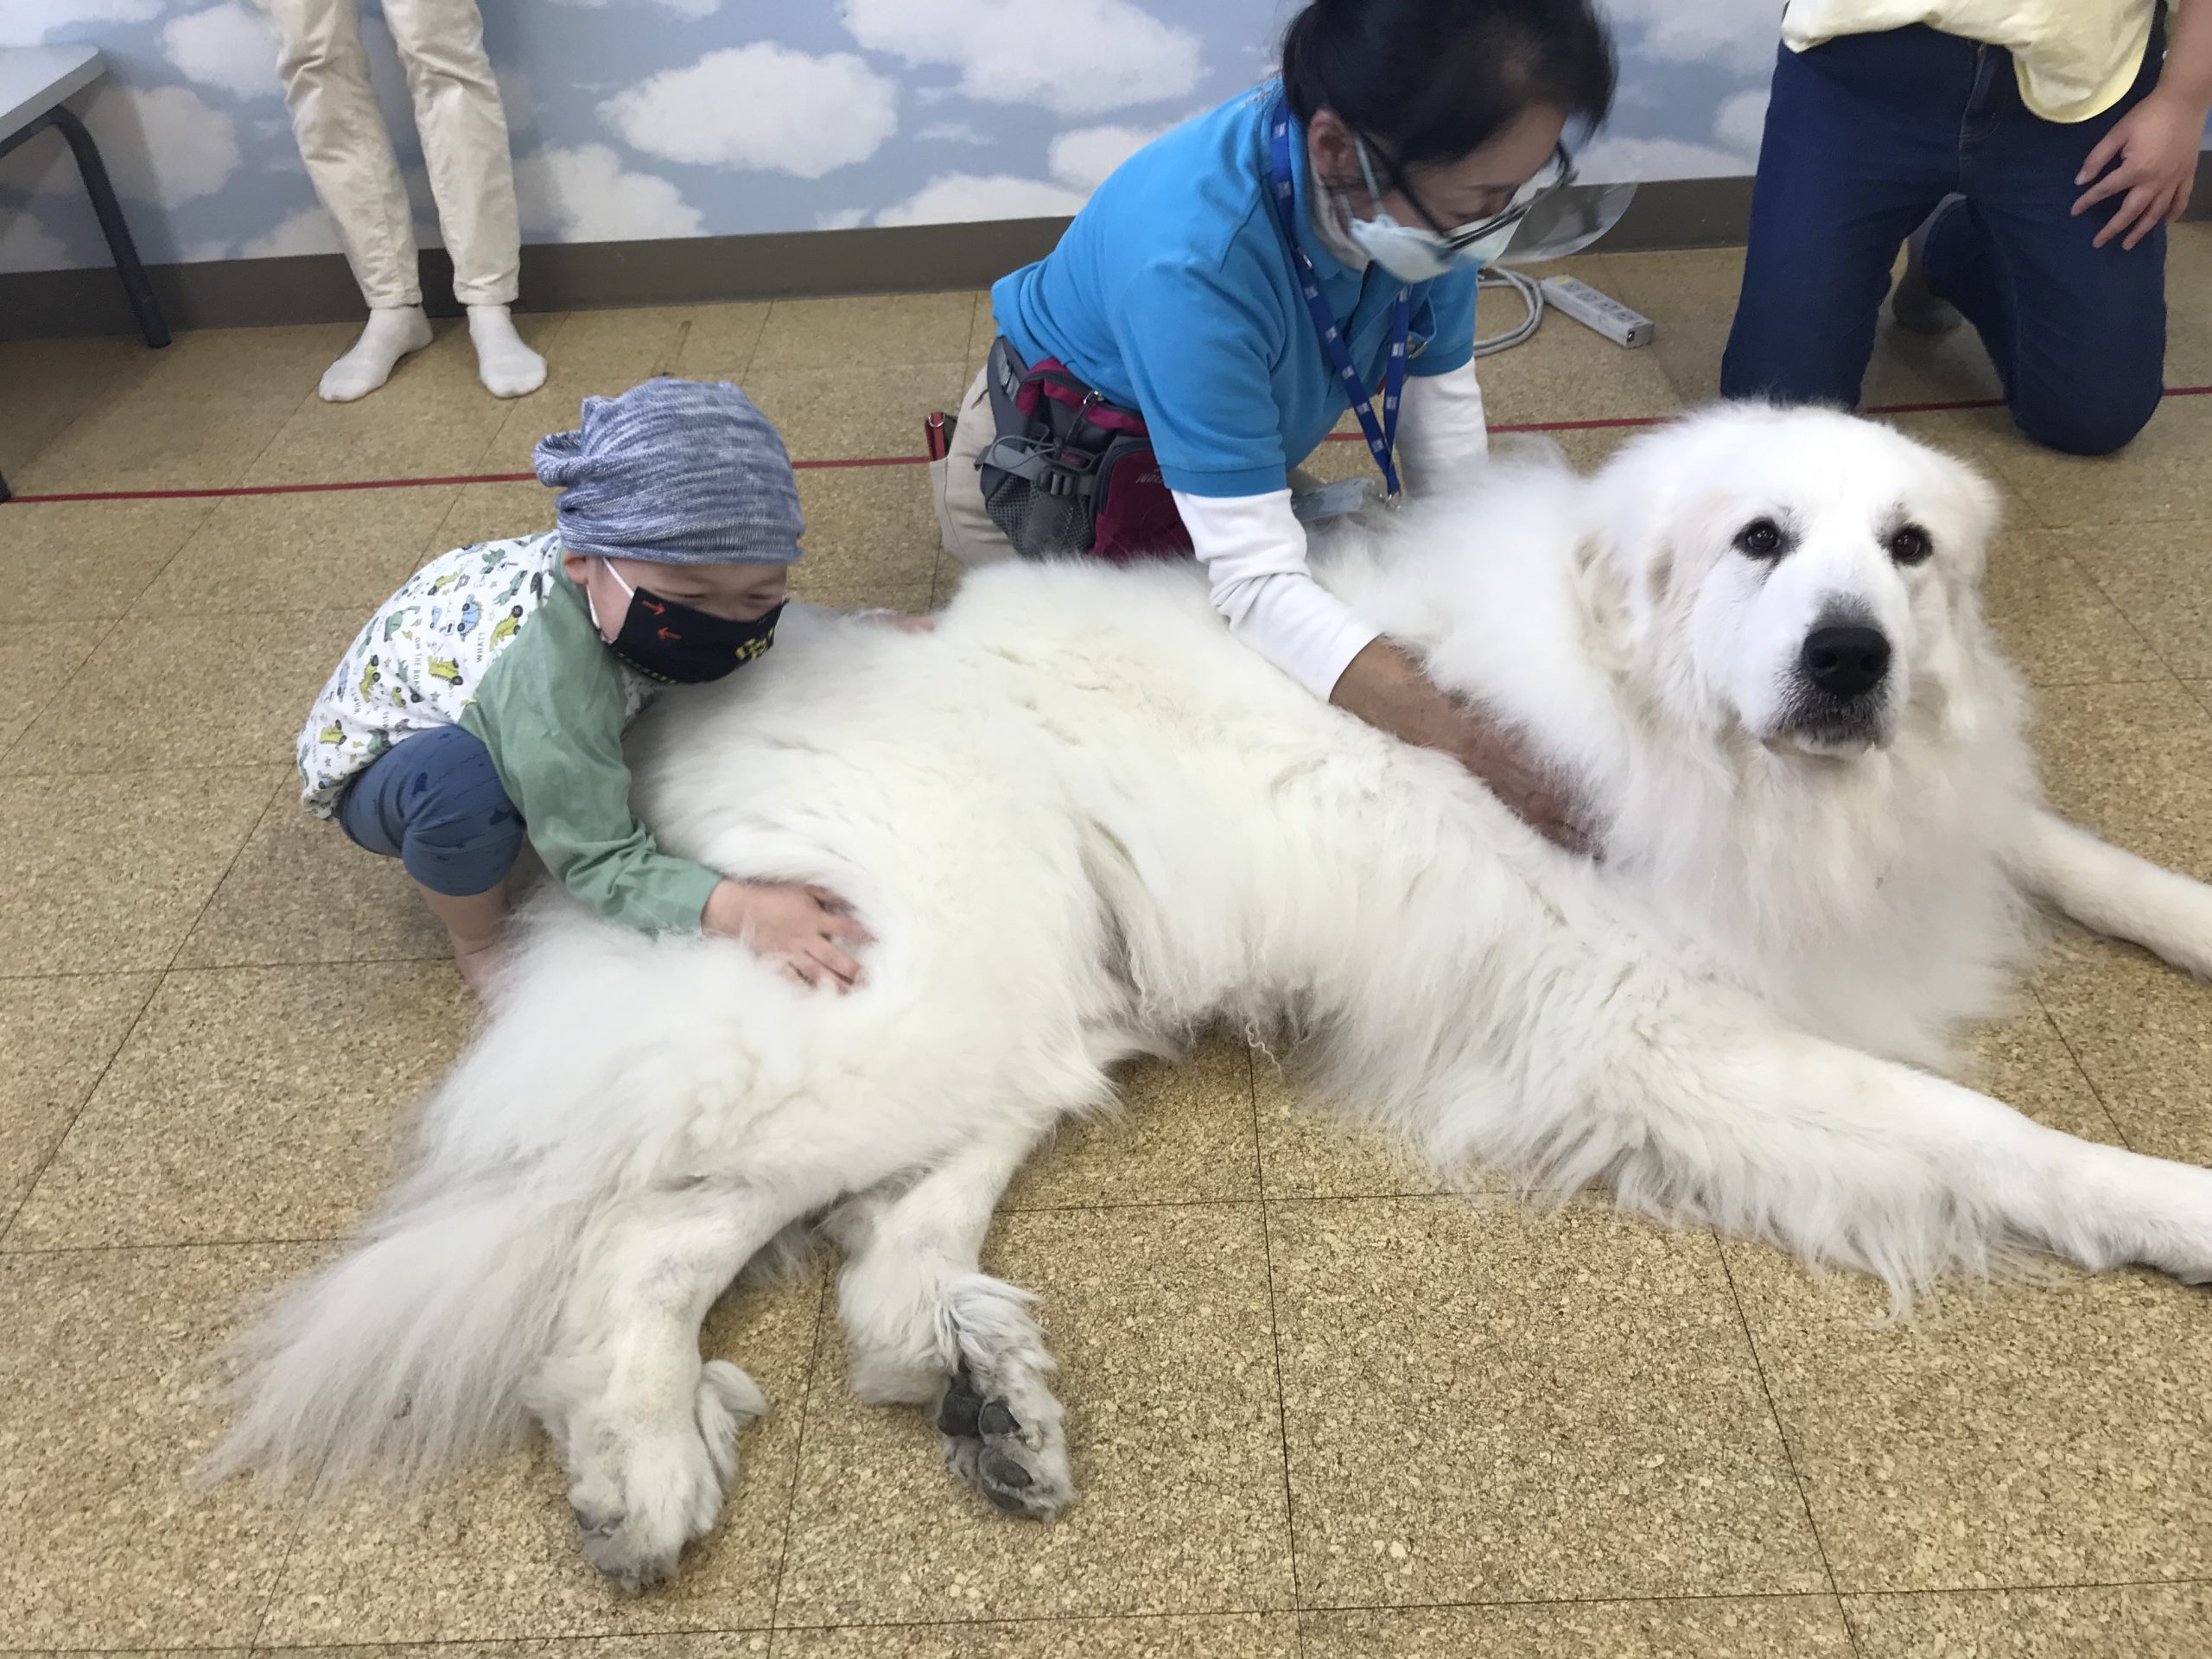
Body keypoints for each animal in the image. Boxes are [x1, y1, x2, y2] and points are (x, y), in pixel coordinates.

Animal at [215, 407, 2212, 1601]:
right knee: (635, 1237)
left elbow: (2084, 857)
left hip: (1043, 1010)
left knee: (865, 1254)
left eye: (1905, 552)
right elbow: (1979, 1129)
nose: (1849, 660)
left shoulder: (1940, 828)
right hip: (918, 1006)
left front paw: (2176, 916)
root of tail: (679, 722)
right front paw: (2167, 1201)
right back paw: (640, 1469)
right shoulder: (1674, 1036)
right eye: (1758, 543)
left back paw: (973, 1387)